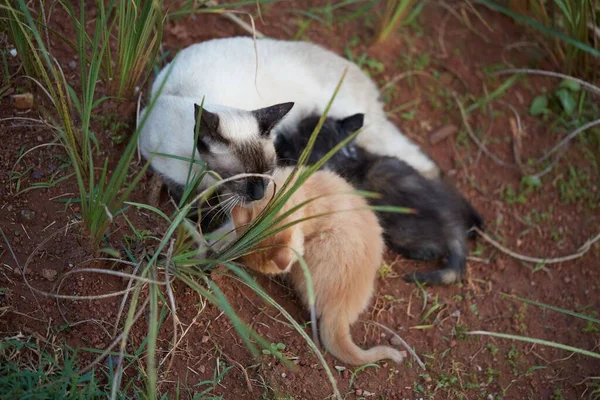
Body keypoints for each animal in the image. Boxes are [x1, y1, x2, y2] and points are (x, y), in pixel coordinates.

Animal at [141, 36, 440, 206]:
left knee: (416, 158)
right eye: (242, 176)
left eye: (269, 171)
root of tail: (356, 69)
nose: (259, 194)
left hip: (364, 128)